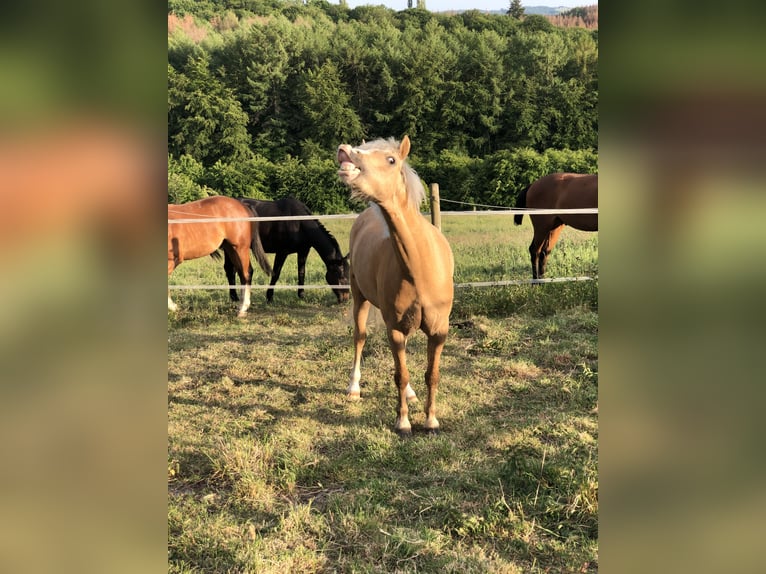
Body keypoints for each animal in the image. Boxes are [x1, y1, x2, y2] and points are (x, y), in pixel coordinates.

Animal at [224, 197, 352, 306]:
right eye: (341, 277)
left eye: (348, 275)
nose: (345, 299)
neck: (298, 223)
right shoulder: (282, 252)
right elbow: (276, 274)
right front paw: (269, 297)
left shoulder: (303, 251)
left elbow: (301, 272)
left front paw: (301, 295)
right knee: (230, 269)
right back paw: (234, 297)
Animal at [338, 137, 456, 438]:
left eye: (391, 160)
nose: (344, 151)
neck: (420, 268)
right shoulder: (394, 328)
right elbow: (400, 374)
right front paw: (403, 422)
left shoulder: (439, 330)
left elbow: (431, 374)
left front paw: (431, 421)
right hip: (360, 298)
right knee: (360, 337)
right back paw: (354, 388)